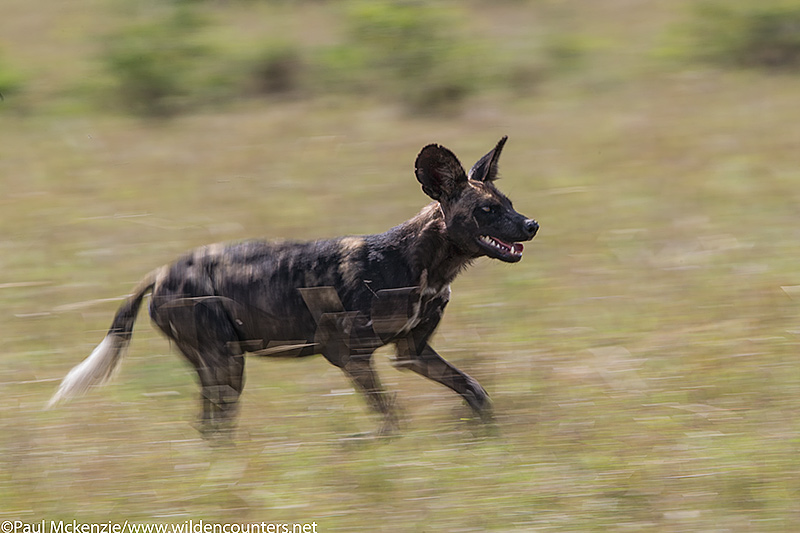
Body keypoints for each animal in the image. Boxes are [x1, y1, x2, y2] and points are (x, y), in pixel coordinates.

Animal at [48, 135, 536, 434]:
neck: (423, 264)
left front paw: (488, 439)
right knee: (215, 426)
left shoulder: (412, 353)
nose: (531, 225)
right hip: (226, 363)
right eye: (488, 211)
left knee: (212, 428)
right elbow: (390, 417)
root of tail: (160, 273)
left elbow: (475, 392)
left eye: (510, 204)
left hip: (218, 368)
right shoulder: (347, 355)